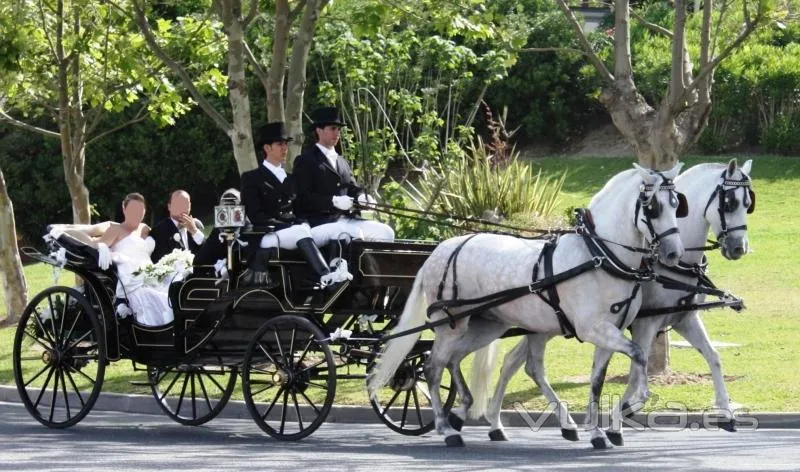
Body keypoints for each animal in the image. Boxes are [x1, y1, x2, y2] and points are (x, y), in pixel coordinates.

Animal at [372, 164, 684, 448]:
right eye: (653, 207)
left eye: (676, 204)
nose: (674, 253)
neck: (599, 256)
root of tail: (440, 250)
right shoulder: (594, 330)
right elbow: (638, 355)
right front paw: (636, 401)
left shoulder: (609, 332)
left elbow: (598, 381)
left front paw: (599, 432)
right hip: (452, 326)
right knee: (433, 367)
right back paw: (445, 427)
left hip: (486, 326)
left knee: (456, 360)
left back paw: (470, 413)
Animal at [482, 159, 756, 450]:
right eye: (729, 203)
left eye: (748, 202)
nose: (738, 248)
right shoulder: (645, 323)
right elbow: (638, 369)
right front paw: (622, 415)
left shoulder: (684, 318)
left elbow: (713, 357)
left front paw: (726, 413)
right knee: (521, 363)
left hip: (546, 323)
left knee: (516, 362)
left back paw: (507, 422)